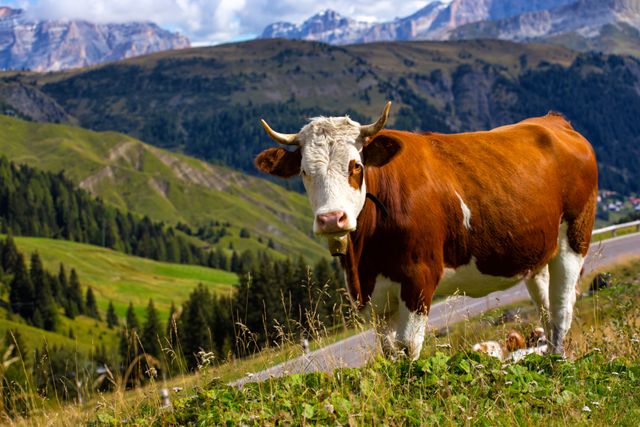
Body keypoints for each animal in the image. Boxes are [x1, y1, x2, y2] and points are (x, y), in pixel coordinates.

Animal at [254, 103, 596, 362]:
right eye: (304, 172)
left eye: (356, 166)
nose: (331, 219)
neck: (363, 260)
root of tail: (553, 120)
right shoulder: (375, 298)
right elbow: (389, 351)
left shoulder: (418, 277)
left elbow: (408, 347)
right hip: (537, 255)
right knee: (546, 310)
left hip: (575, 238)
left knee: (562, 309)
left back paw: (557, 364)